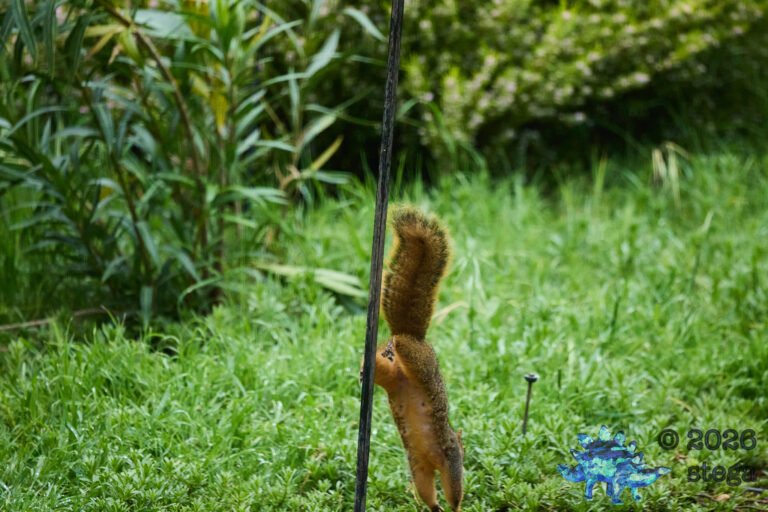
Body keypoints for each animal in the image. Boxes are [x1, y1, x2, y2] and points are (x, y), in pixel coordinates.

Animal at [369, 207, 464, 512]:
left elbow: (430, 494)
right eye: (465, 450)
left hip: (395, 378)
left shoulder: (423, 469)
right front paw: (454, 508)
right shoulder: (451, 463)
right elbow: (455, 493)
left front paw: (437, 508)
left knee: (384, 369)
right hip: (422, 363)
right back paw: (397, 344)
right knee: (407, 349)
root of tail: (409, 333)